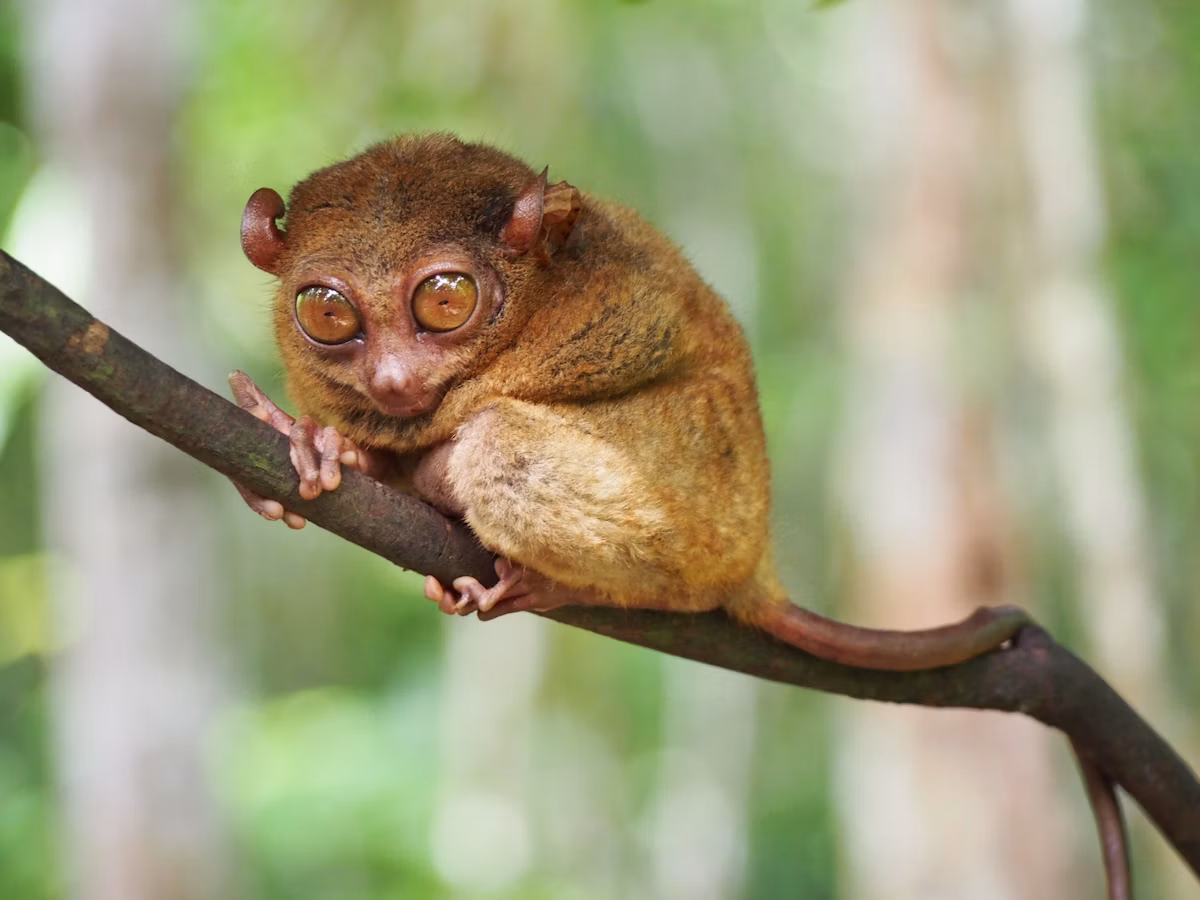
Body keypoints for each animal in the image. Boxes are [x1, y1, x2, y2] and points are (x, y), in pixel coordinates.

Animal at [232, 134, 1128, 897]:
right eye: (329, 314)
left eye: (445, 301)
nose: (390, 381)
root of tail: (756, 563)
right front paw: (318, 448)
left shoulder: (609, 299)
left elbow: (552, 373)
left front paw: (381, 456)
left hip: (701, 503)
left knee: (498, 445)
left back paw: (544, 576)